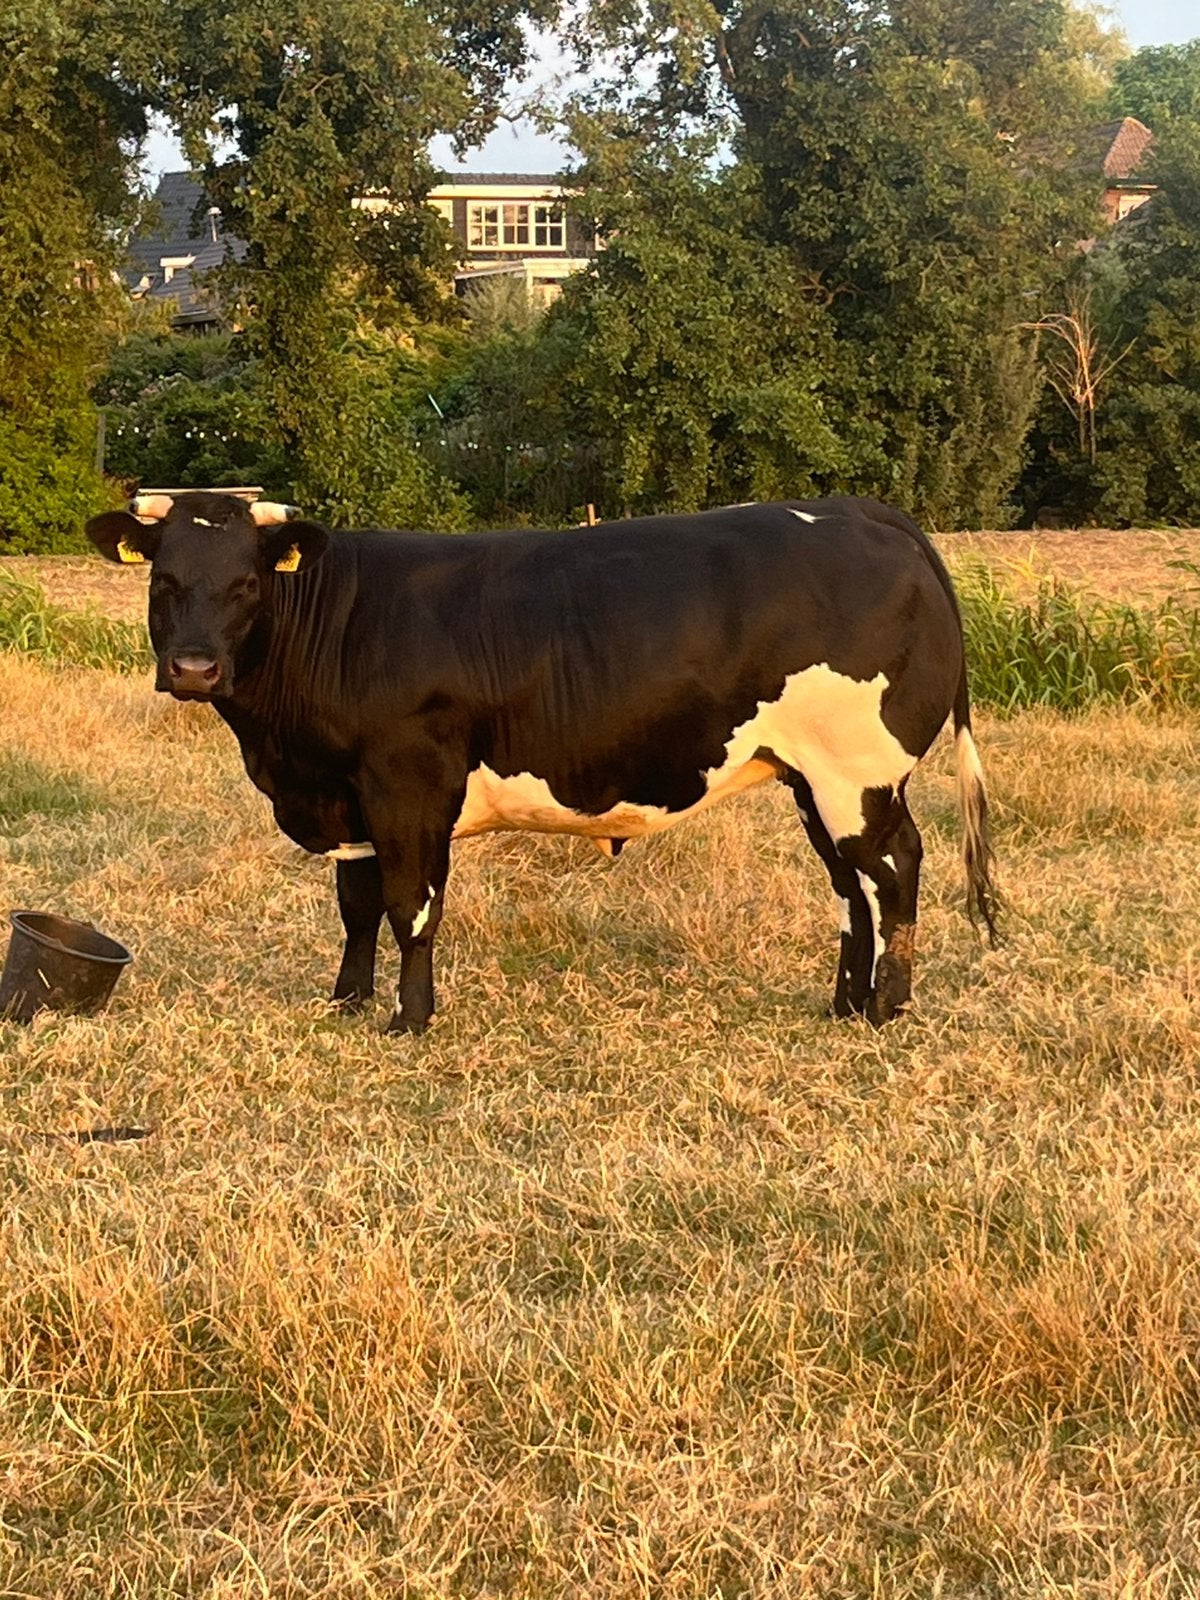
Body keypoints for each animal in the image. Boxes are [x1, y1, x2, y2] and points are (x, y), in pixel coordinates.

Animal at [85, 490, 997, 1033]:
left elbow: (410, 907)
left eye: (246, 583)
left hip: (857, 773)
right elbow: (355, 907)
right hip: (813, 779)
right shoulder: (347, 797)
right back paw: (845, 1004)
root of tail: (856, 509)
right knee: (851, 888)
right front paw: (346, 1002)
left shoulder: (409, 783)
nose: (194, 668)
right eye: (164, 580)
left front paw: (410, 1019)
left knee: (893, 869)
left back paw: (887, 1006)